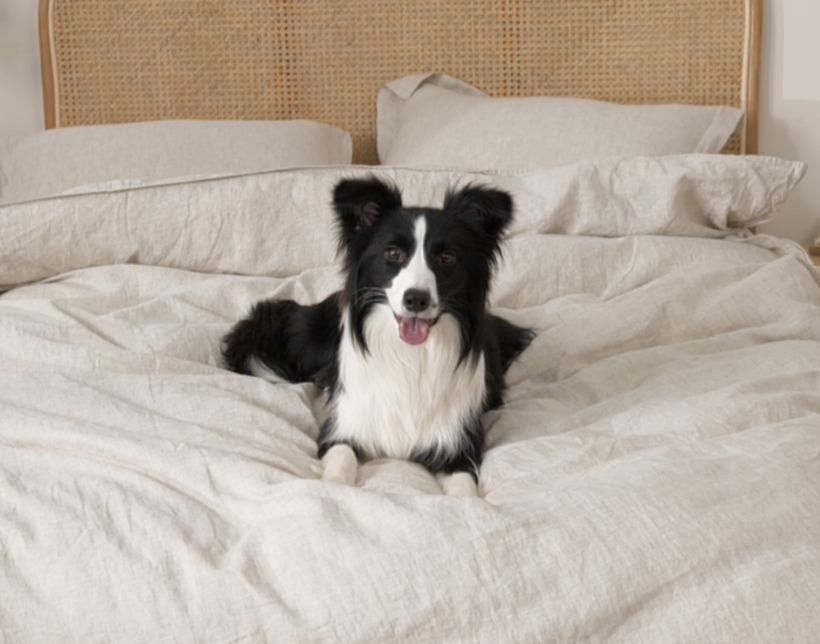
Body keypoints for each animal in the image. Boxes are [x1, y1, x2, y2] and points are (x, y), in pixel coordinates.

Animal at [221, 177, 536, 498]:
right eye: (393, 253)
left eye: (447, 257)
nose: (416, 299)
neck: (411, 356)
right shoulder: (342, 429)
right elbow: (340, 463)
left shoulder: (459, 442)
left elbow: (465, 490)